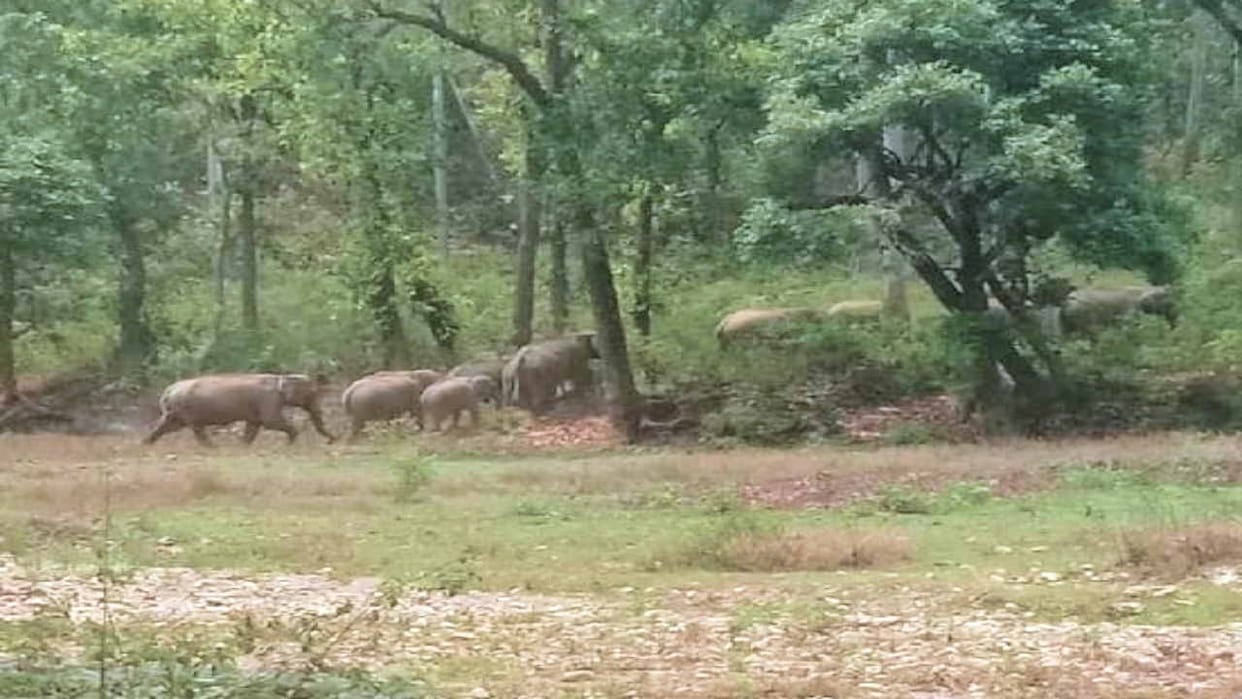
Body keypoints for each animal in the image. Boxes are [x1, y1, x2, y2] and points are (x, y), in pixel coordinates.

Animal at [143, 373, 336, 446]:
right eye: (312, 394)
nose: (332, 440)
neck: (280, 378)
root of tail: (168, 390)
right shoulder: (268, 400)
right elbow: (271, 422)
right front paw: (290, 444)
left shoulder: (256, 410)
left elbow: (253, 428)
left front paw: (243, 446)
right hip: (187, 410)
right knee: (197, 430)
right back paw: (213, 448)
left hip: (175, 412)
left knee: (165, 427)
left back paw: (145, 445)